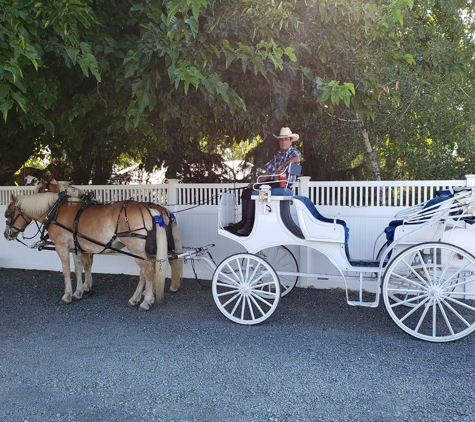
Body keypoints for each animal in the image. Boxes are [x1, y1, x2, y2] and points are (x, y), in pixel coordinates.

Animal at [4, 191, 169, 310]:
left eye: (8, 213)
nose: (6, 234)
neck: (55, 211)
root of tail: (150, 210)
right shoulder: (75, 248)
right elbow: (78, 270)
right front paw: (78, 292)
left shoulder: (61, 247)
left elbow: (66, 271)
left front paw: (67, 296)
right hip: (142, 251)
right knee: (145, 273)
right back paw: (135, 299)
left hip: (136, 249)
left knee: (148, 272)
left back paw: (146, 301)